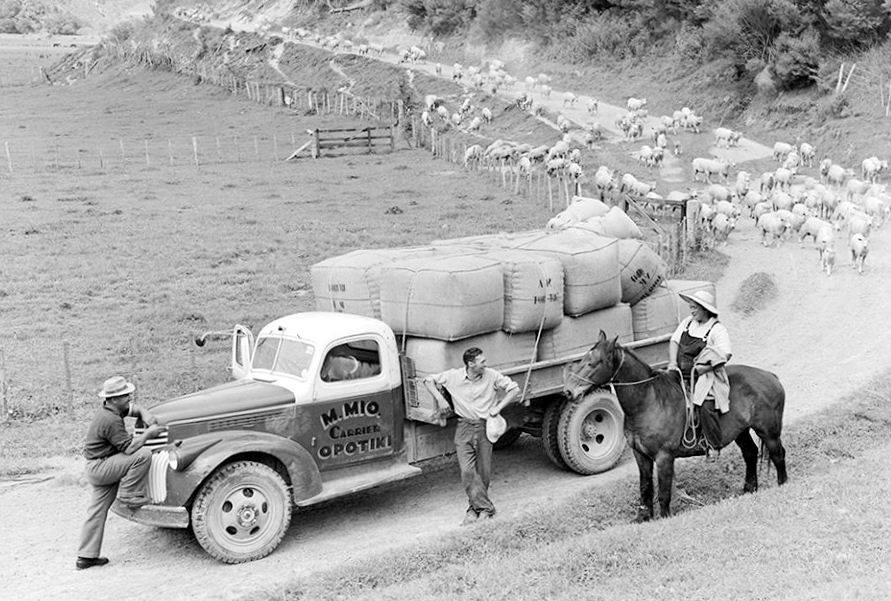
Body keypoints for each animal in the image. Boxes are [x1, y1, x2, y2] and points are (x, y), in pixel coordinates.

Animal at [564, 330, 788, 524]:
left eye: (594, 362)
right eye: (583, 359)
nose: (568, 391)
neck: (648, 400)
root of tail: (772, 376)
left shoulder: (664, 457)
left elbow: (664, 491)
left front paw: (664, 516)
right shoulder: (641, 455)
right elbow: (645, 487)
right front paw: (643, 517)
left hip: (769, 432)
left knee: (778, 455)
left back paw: (782, 484)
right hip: (741, 433)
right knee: (750, 453)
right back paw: (749, 489)